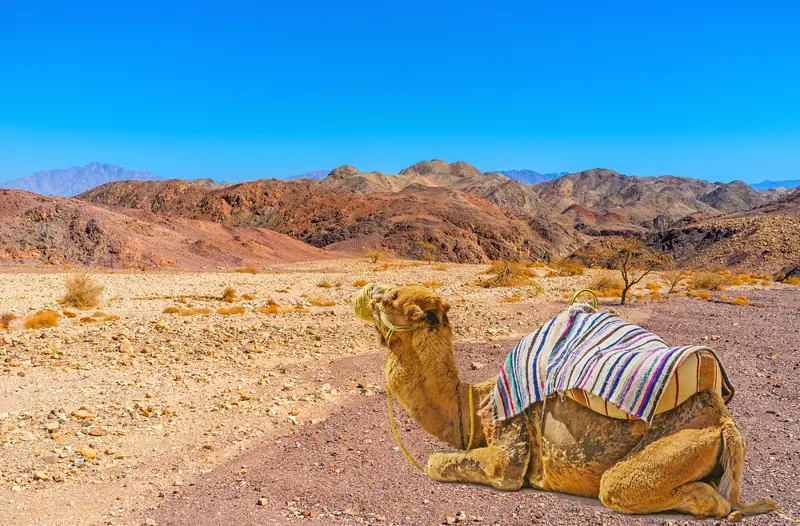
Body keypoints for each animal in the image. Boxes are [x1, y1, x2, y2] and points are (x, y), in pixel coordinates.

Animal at [360, 284, 780, 520]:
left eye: (392, 298)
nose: (369, 294)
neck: (474, 404)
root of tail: (724, 422)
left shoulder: (510, 444)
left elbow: (439, 463)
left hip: (673, 449)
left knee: (626, 489)